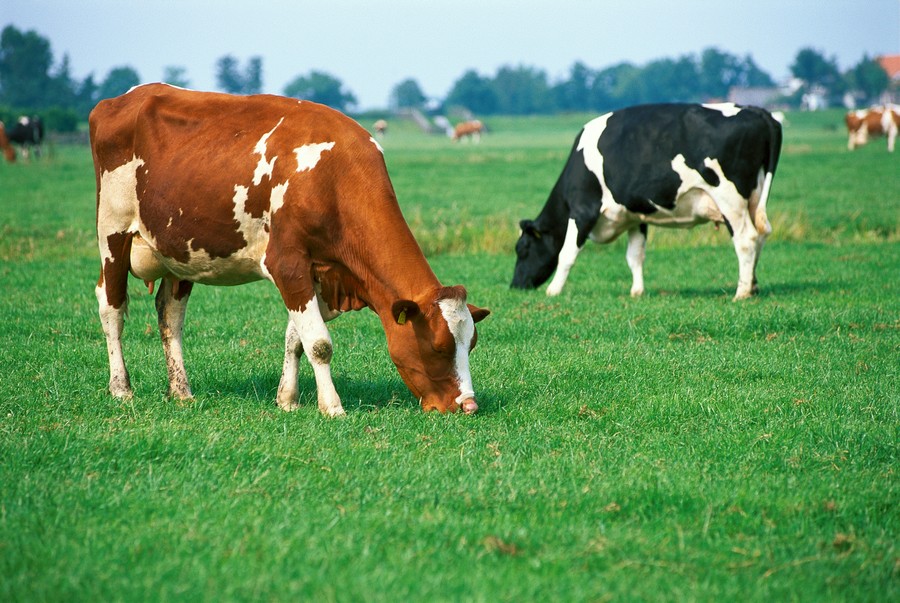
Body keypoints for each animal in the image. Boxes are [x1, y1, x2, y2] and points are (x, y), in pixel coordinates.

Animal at [88, 84, 488, 416]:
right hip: (113, 231)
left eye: (470, 345)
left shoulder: (324, 273)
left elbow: (296, 338)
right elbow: (319, 343)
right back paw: (121, 389)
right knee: (111, 306)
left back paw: (181, 390)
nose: (468, 405)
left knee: (170, 316)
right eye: (438, 347)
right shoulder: (287, 263)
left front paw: (288, 399)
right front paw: (332, 407)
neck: (334, 177)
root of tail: (122, 98)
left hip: (180, 251)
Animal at [512, 105, 780, 302]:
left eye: (522, 249)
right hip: (753, 198)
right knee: (762, 234)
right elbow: (635, 255)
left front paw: (553, 290)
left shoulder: (583, 210)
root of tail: (759, 112)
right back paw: (753, 285)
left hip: (729, 198)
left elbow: (566, 253)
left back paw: (741, 292)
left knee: (746, 239)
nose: (515, 285)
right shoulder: (635, 217)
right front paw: (637, 291)